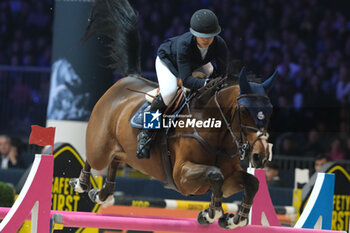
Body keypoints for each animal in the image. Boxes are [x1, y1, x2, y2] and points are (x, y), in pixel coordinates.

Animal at [67, 0, 276, 229]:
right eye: (244, 111)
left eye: (270, 111)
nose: (261, 156)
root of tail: (129, 78)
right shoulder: (182, 175)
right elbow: (215, 175)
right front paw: (211, 213)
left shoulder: (231, 176)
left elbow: (251, 182)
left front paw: (233, 218)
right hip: (100, 144)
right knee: (93, 156)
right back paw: (81, 183)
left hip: (123, 150)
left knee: (115, 160)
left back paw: (101, 194)